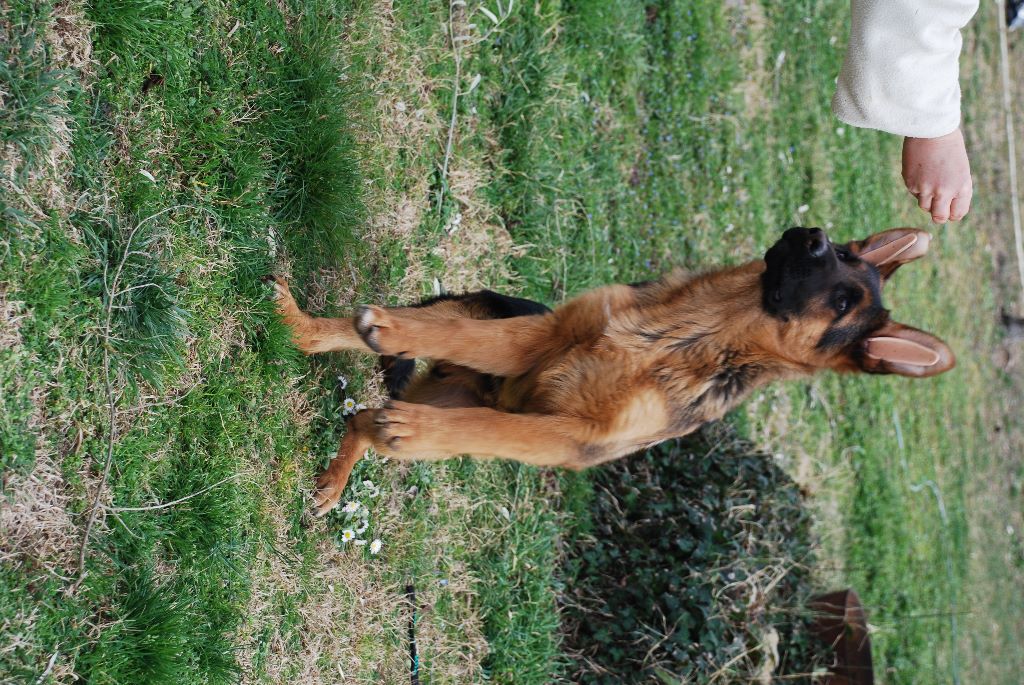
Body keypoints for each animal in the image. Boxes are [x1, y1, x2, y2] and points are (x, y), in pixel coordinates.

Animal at [272, 227, 954, 516]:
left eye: (842, 303)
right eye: (836, 252)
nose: (811, 232)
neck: (684, 334)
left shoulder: (568, 438)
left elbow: (496, 430)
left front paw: (412, 429)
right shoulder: (535, 339)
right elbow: (470, 338)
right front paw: (384, 329)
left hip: (447, 402)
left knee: (369, 419)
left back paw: (343, 471)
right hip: (469, 315)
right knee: (404, 339)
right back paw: (306, 326)